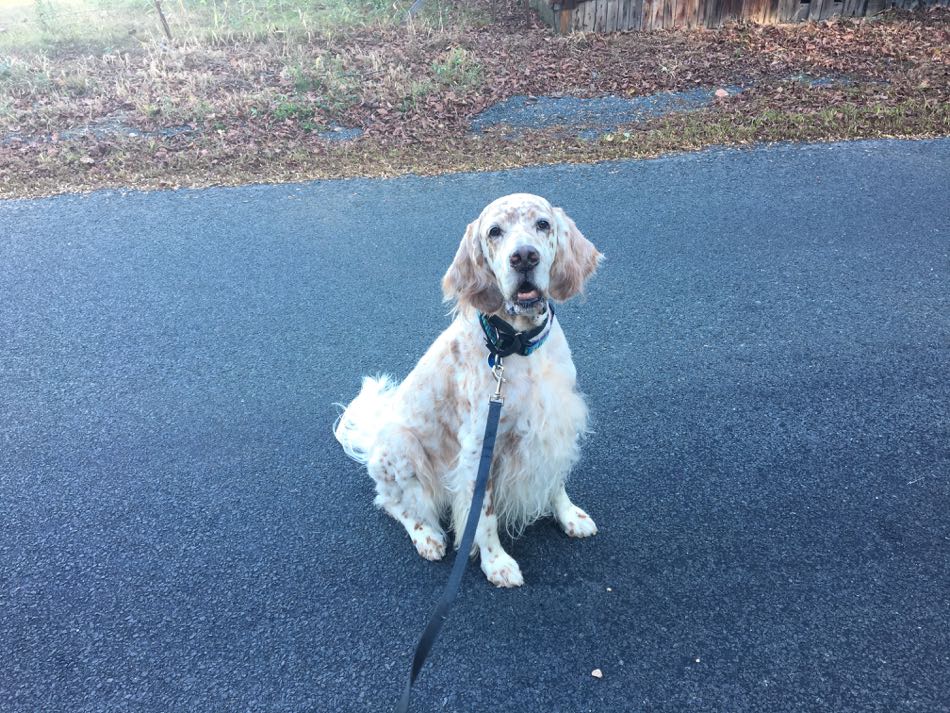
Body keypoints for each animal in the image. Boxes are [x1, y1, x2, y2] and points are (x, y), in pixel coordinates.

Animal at [334, 192, 604, 588]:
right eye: (494, 232)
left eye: (543, 224)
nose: (524, 257)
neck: (516, 347)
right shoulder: (480, 447)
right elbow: (484, 515)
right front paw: (497, 563)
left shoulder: (555, 423)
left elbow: (555, 479)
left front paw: (569, 516)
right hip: (400, 445)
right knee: (396, 504)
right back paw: (427, 536)